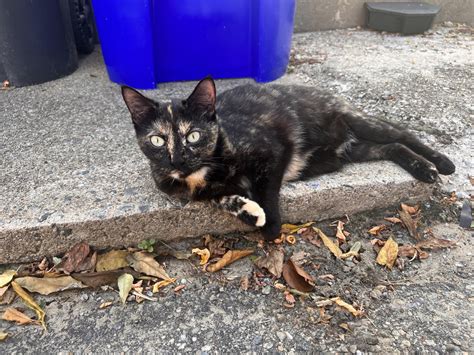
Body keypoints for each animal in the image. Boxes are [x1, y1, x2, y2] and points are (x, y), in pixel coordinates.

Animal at [122, 77, 456, 241]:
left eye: (193, 135)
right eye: (157, 140)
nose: (177, 160)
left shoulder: (272, 152)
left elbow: (265, 189)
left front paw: (270, 227)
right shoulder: (198, 192)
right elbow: (221, 199)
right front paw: (248, 211)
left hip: (360, 122)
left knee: (403, 134)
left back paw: (437, 164)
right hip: (355, 149)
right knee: (392, 147)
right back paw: (421, 166)